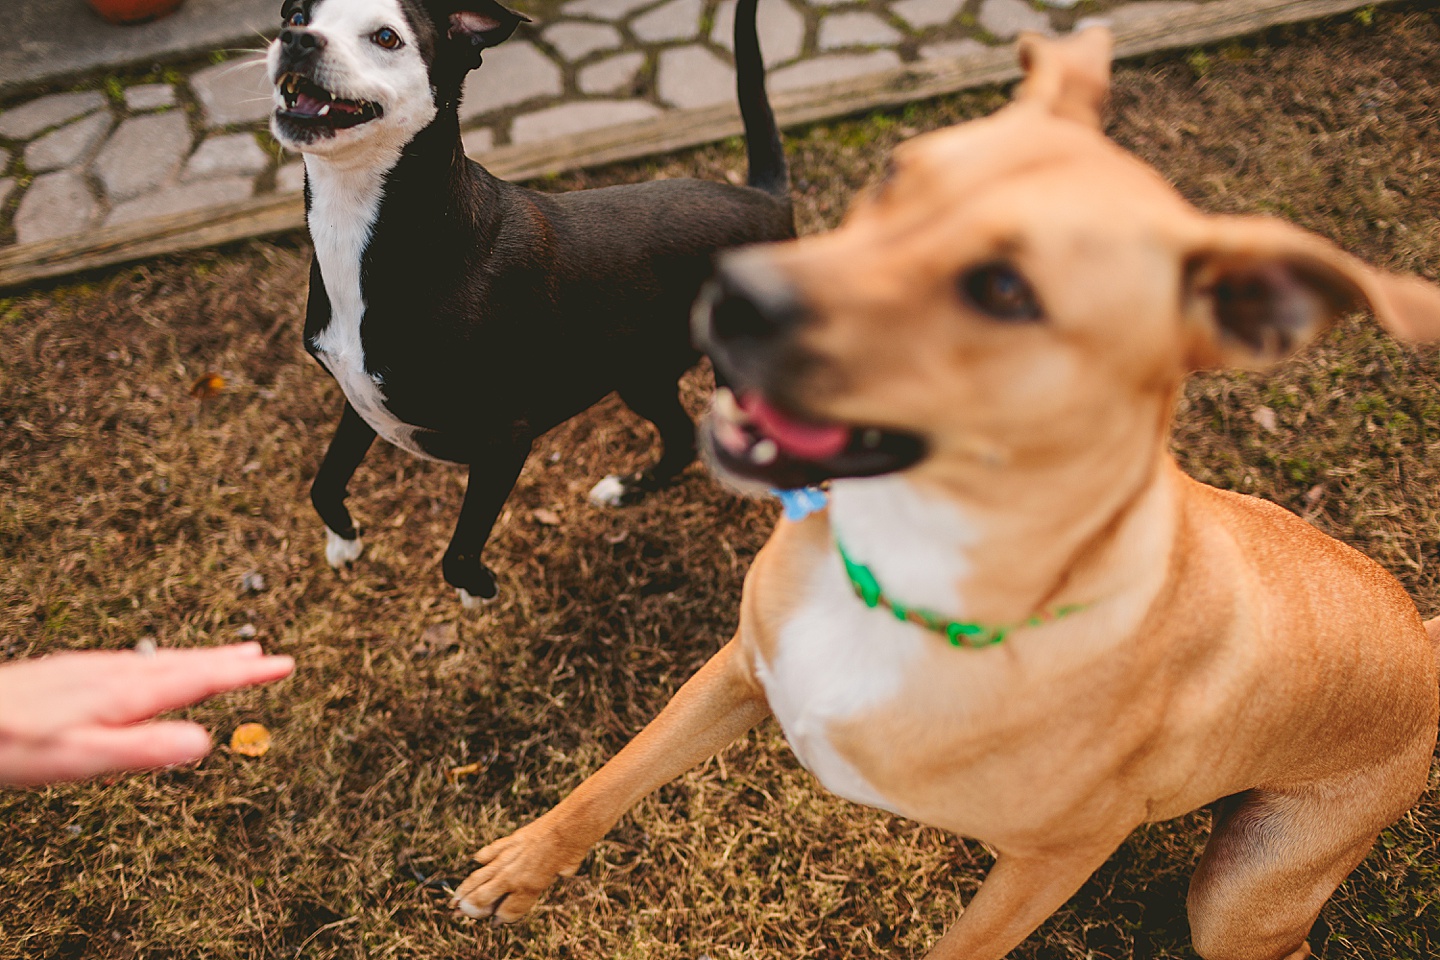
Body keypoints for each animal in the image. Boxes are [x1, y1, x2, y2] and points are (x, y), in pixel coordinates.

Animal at [264, 0, 794, 604]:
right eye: (297, 14)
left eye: (386, 37)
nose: (296, 41)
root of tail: (766, 201)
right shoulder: (361, 399)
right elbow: (324, 482)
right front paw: (344, 541)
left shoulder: (505, 440)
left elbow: (458, 550)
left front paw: (478, 587)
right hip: (640, 376)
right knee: (681, 440)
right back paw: (629, 489)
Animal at [455, 30, 1440, 960]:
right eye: (897, 174)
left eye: (1005, 289)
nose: (728, 289)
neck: (906, 566)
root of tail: (1422, 636)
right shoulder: (738, 670)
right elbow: (616, 774)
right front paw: (522, 867)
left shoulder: (1054, 863)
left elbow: (963, 943)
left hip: (1237, 899)